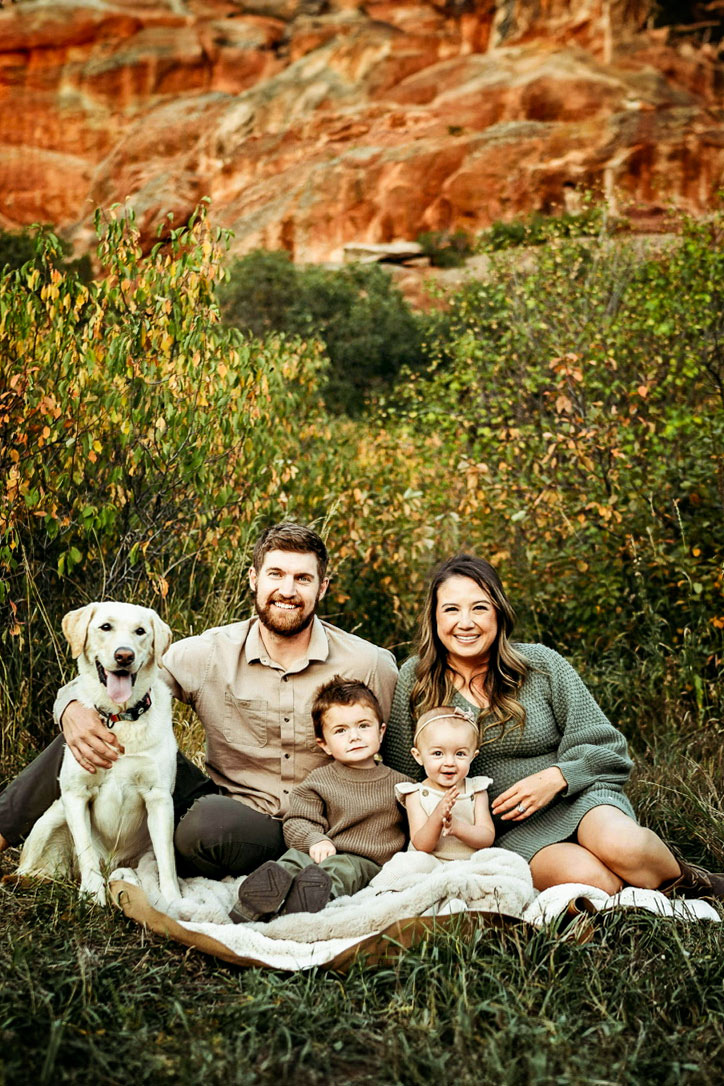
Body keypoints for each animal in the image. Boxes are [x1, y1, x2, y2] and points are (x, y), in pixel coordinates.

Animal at [18, 601, 180, 905]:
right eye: (105, 627)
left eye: (140, 631)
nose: (124, 655)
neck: (119, 719)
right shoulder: (75, 794)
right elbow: (86, 852)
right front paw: (93, 895)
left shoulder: (159, 797)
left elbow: (167, 859)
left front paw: (174, 901)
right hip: (53, 817)